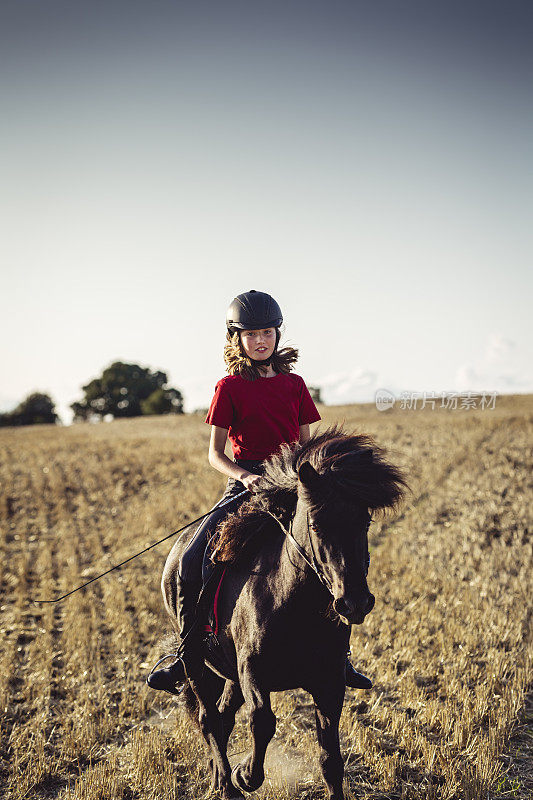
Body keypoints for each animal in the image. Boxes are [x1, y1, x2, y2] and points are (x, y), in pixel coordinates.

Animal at [159, 422, 408, 796]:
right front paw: (245, 775)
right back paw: (228, 785)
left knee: (223, 715)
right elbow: (263, 721)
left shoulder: (330, 681)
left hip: (229, 674)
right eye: (317, 526)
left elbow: (331, 760)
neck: (292, 605)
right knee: (209, 719)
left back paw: (219, 779)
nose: (355, 603)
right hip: (197, 665)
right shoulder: (253, 672)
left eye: (364, 523)